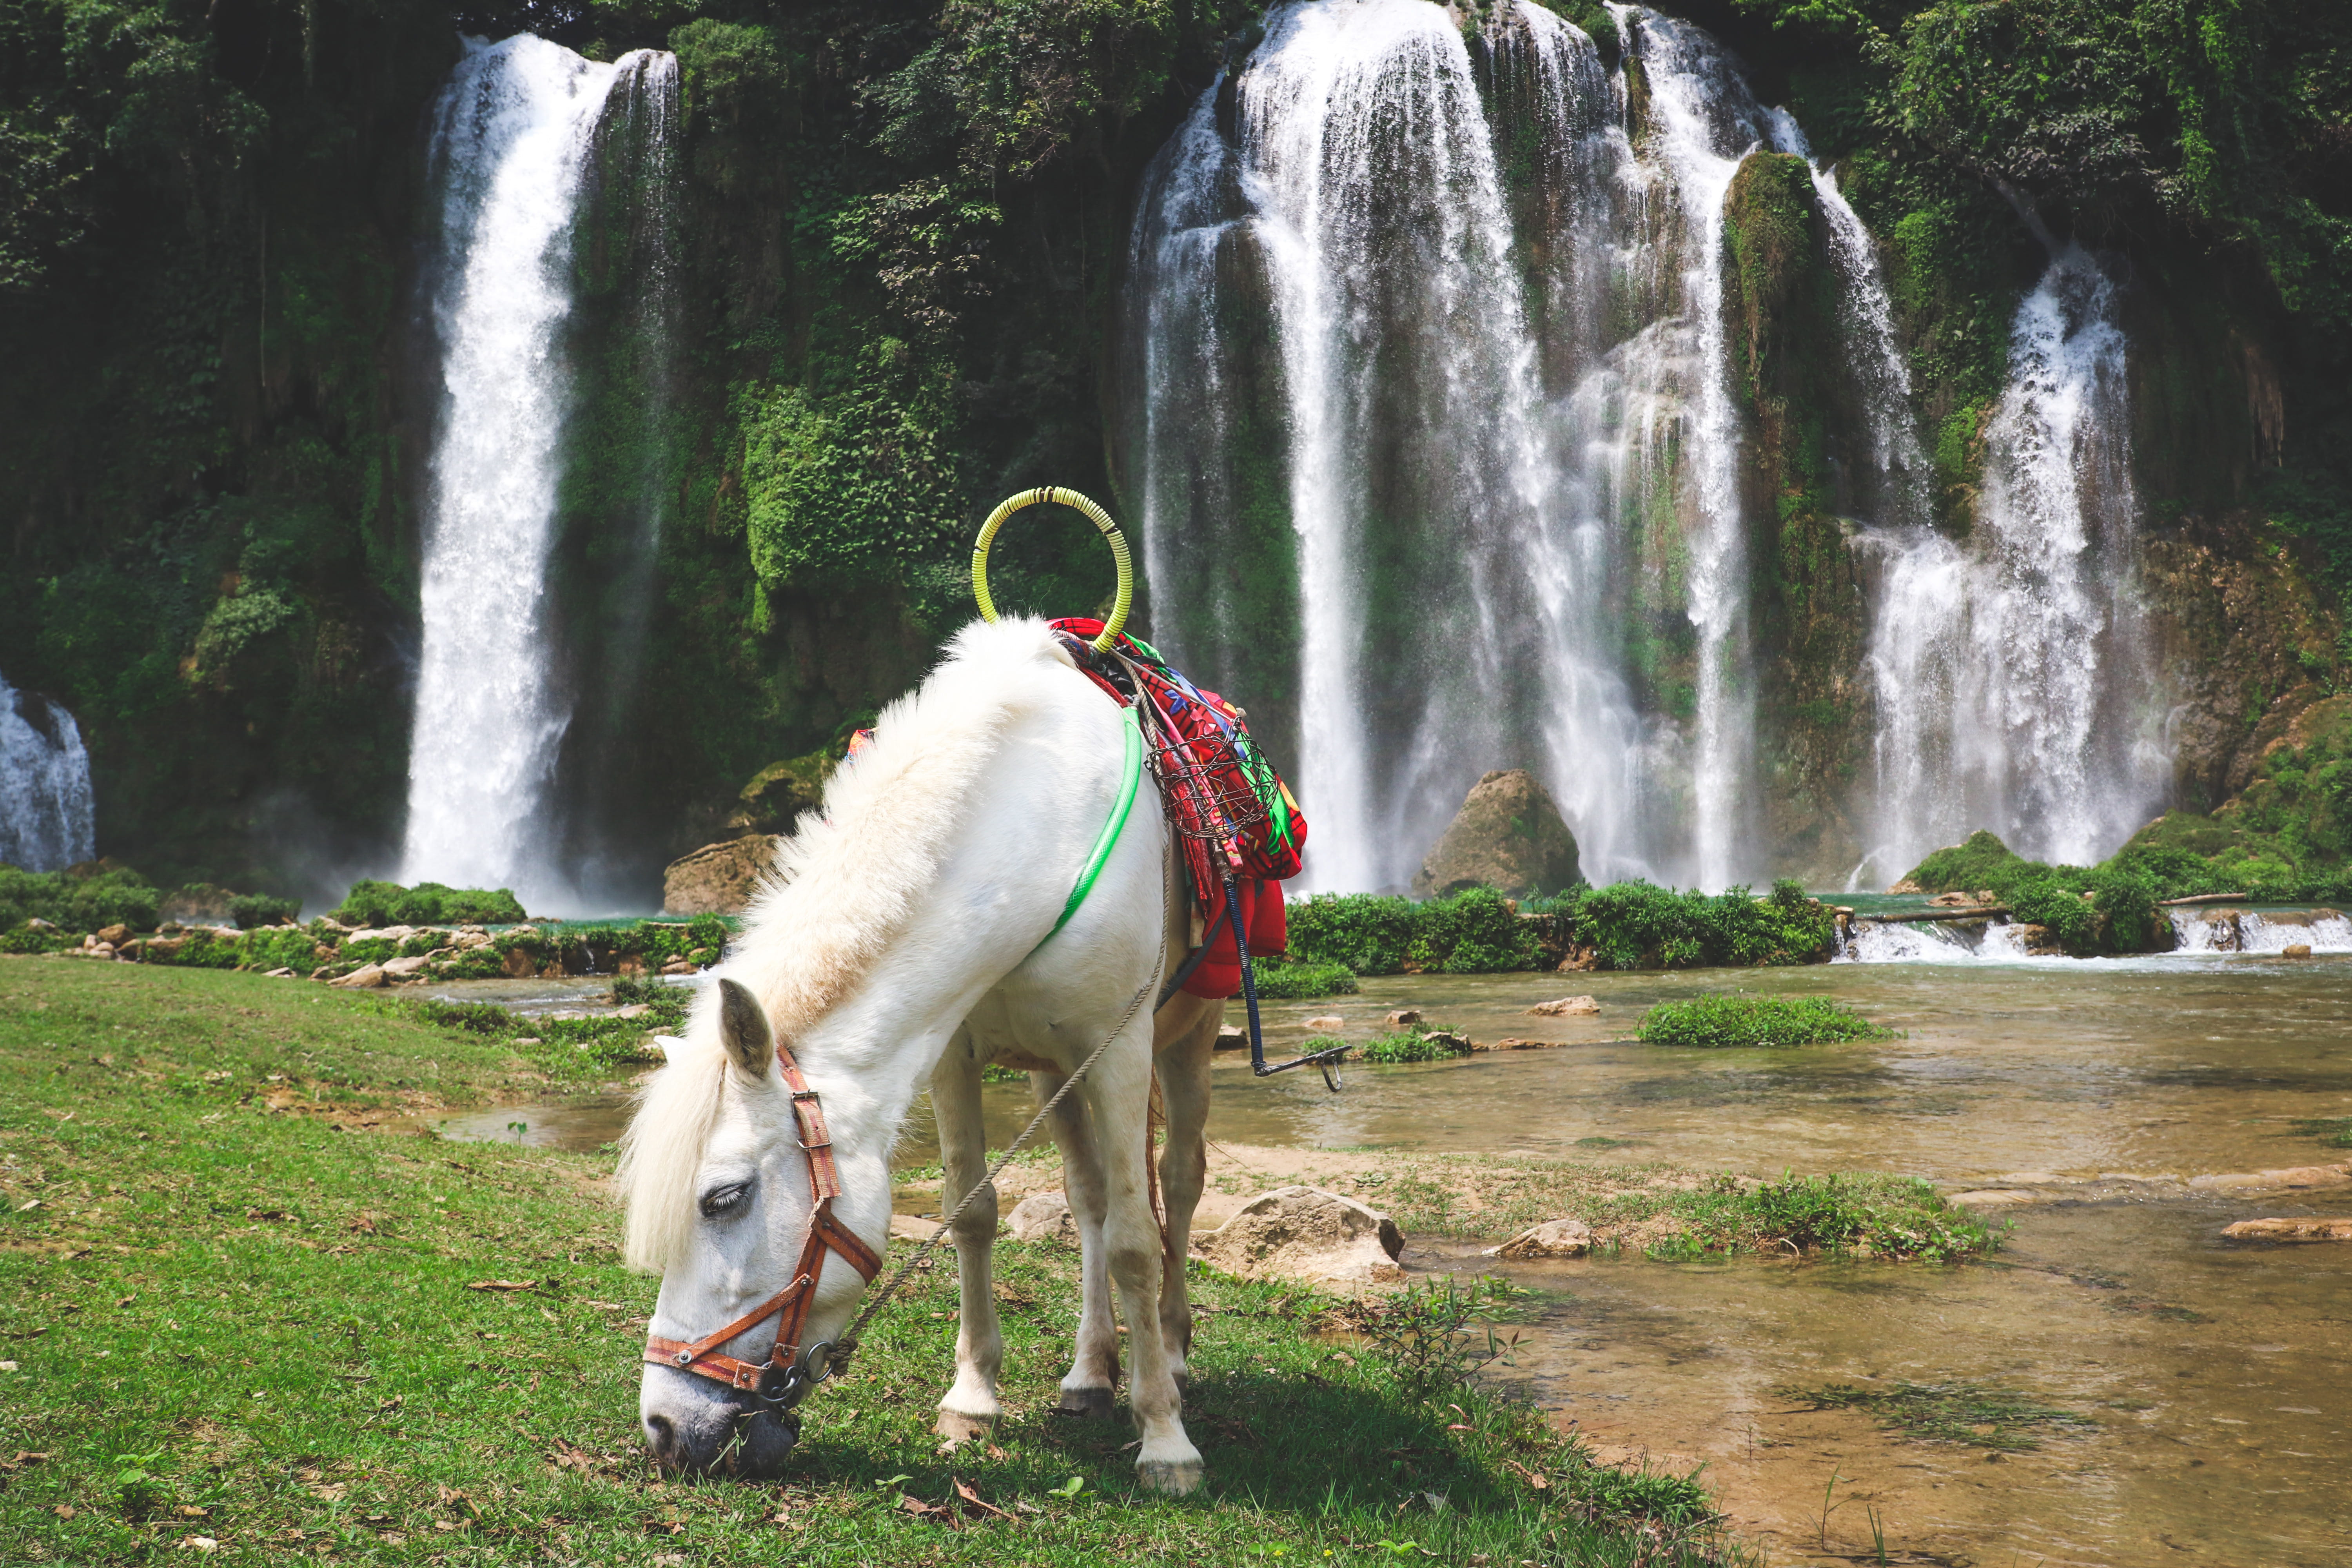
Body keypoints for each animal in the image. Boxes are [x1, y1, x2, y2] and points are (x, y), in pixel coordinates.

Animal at [618, 615, 1225, 1494]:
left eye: (723, 1199)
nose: (665, 1428)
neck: (1040, 828)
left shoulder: (1119, 1047)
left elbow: (1138, 1242)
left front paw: (1167, 1443)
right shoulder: (955, 1054)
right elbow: (973, 1212)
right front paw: (972, 1400)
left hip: (1189, 1037)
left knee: (1176, 1180)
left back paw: (1171, 1357)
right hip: (1054, 1071)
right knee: (1086, 1199)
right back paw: (1087, 1373)